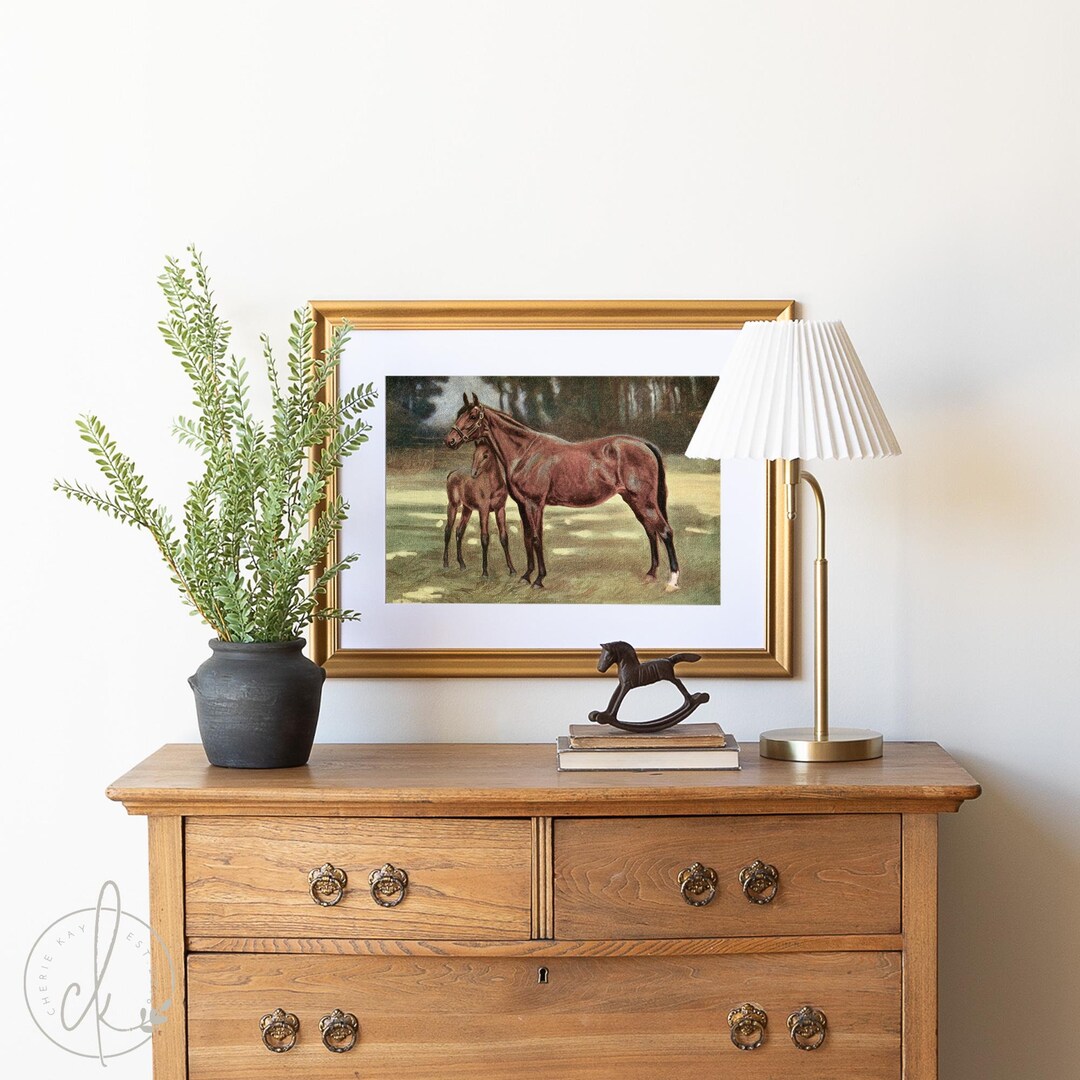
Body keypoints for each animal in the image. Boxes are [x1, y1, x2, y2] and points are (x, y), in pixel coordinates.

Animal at [443, 439, 516, 577]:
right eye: (474, 455)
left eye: (485, 455)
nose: (474, 473)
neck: (493, 487)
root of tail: (452, 473)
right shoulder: (484, 511)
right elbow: (484, 538)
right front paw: (485, 572)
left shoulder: (500, 510)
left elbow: (504, 537)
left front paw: (512, 569)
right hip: (453, 505)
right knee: (448, 531)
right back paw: (445, 563)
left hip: (467, 509)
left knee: (459, 531)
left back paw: (462, 564)